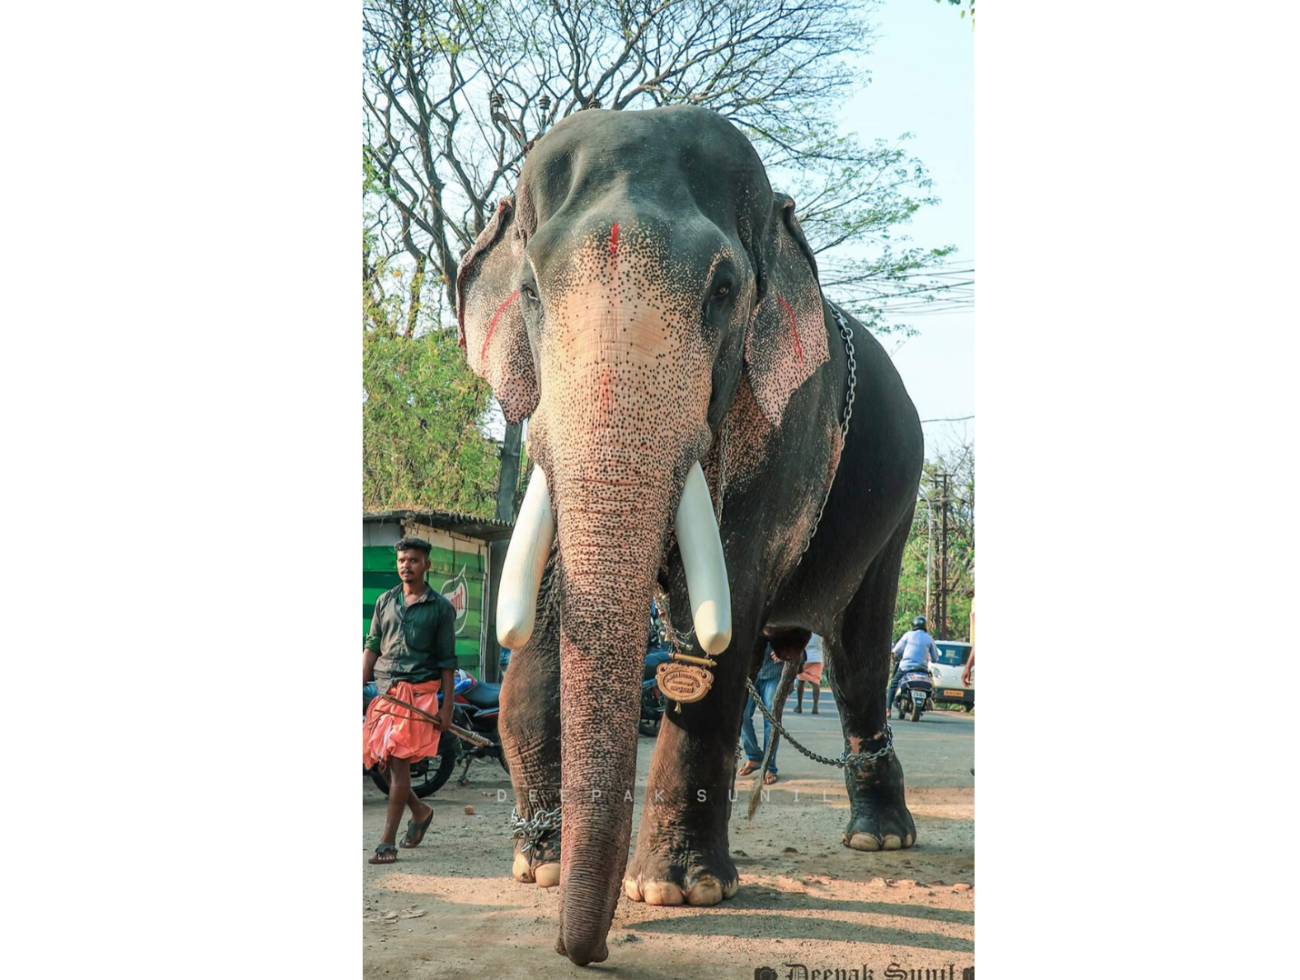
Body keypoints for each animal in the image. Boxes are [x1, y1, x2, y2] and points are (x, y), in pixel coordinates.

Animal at [456, 105, 924, 966]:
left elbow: (727, 611)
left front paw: (677, 891)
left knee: (861, 655)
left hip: (897, 505)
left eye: (725, 289)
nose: (583, 951)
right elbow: (543, 614)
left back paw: (879, 839)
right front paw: (539, 866)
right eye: (530, 290)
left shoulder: (791, 427)